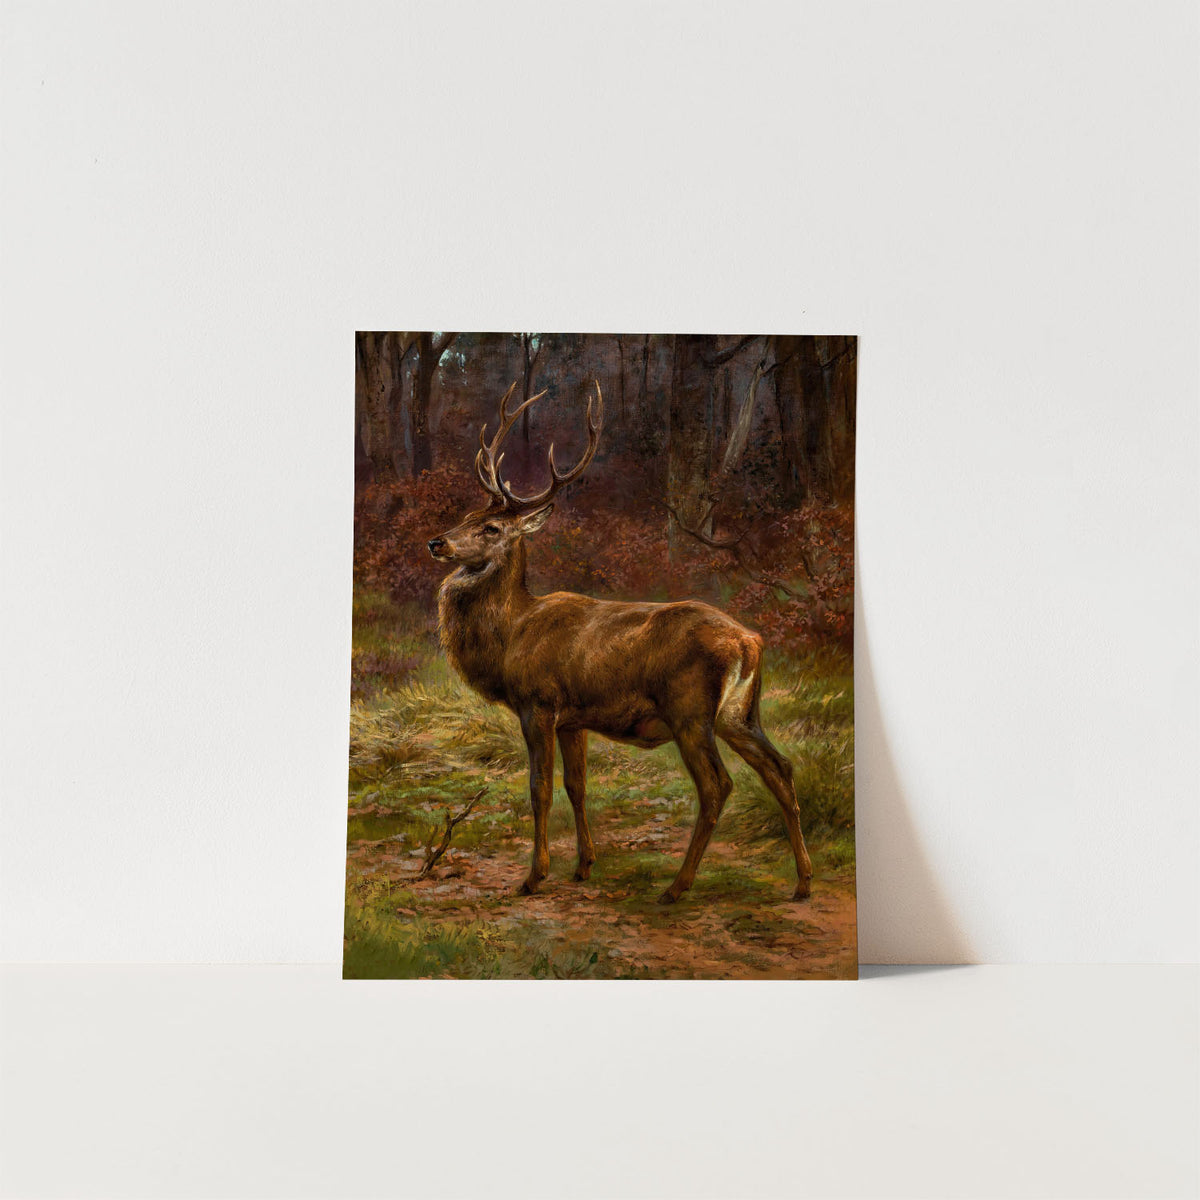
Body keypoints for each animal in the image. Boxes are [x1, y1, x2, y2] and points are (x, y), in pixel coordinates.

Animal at [427, 381, 813, 904]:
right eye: (467, 514)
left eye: (492, 528)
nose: (437, 542)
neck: (512, 636)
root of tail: (749, 640)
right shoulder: (572, 719)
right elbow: (577, 786)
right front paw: (583, 866)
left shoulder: (537, 702)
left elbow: (539, 788)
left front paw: (534, 876)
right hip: (740, 713)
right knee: (781, 768)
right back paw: (803, 882)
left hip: (690, 710)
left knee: (718, 786)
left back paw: (677, 886)